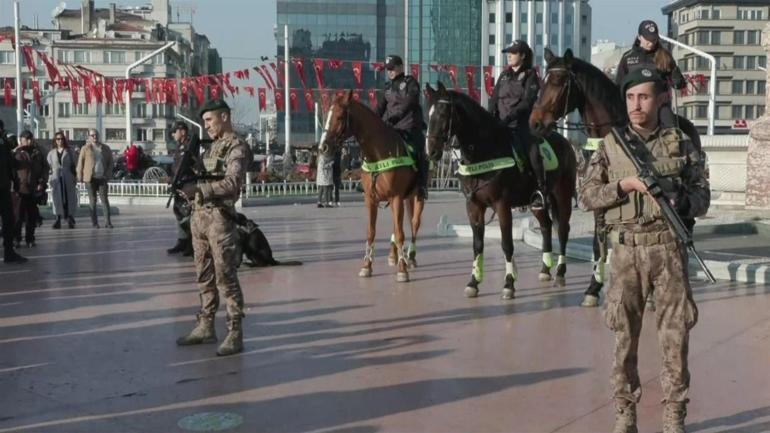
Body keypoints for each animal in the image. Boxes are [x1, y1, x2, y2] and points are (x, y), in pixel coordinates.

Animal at [318, 90, 426, 284]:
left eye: (339, 117)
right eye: (327, 116)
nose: (323, 147)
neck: (379, 154)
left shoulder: (396, 196)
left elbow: (401, 232)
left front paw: (402, 269)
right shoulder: (370, 199)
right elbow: (371, 231)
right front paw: (367, 265)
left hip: (417, 196)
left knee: (414, 223)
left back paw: (410, 256)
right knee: (399, 225)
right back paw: (394, 255)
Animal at [424, 81, 572, 298]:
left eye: (443, 113)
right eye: (428, 113)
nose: (432, 151)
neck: (485, 150)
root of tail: (566, 143)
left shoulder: (502, 205)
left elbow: (507, 244)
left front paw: (509, 283)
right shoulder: (474, 206)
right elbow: (477, 245)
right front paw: (473, 282)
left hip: (563, 196)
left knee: (562, 229)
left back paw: (560, 272)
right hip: (537, 204)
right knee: (546, 226)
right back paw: (545, 269)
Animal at [528, 46, 704, 304]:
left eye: (559, 81)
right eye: (542, 82)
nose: (536, 123)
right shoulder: (600, 195)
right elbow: (597, 242)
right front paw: (593, 287)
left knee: (687, 222)